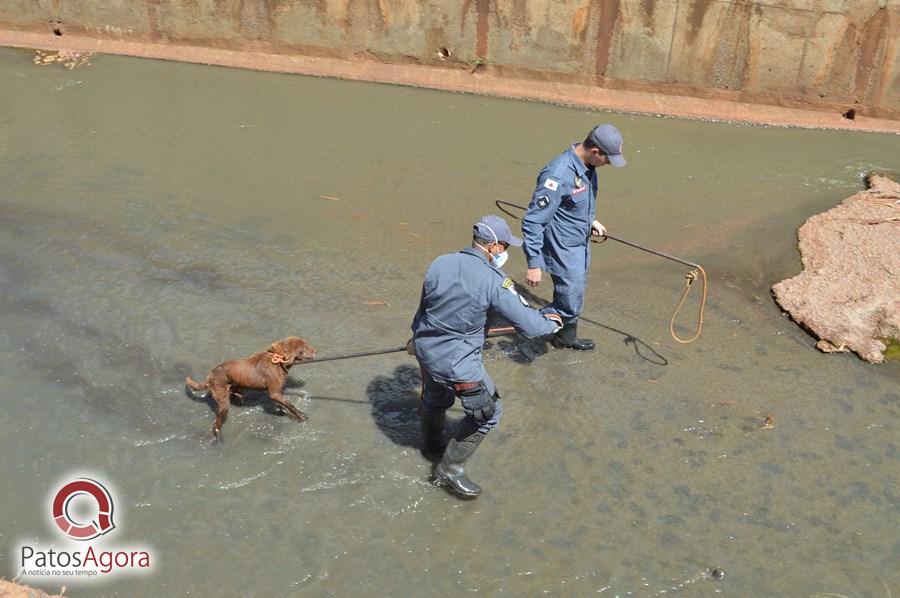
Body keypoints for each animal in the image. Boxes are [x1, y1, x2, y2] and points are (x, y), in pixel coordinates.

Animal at [185, 338, 318, 440]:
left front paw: (282, 410)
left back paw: (240, 397)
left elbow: (282, 404)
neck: (278, 360)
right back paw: (219, 439)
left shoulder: (277, 391)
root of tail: (209, 377)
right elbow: (290, 405)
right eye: (304, 347)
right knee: (216, 424)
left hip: (234, 385)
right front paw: (301, 416)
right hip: (223, 402)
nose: (316, 351)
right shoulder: (274, 392)